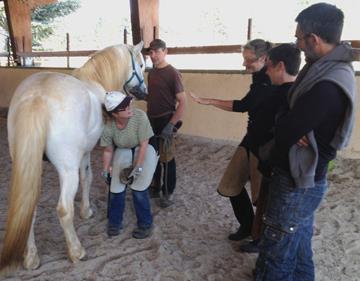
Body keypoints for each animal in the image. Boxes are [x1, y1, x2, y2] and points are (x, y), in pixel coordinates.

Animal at [0, 40, 146, 272]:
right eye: (140, 64)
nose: (144, 92)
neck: (94, 79)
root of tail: (37, 96)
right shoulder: (86, 153)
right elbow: (88, 177)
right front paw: (86, 211)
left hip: (28, 167)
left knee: (28, 207)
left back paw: (31, 258)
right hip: (67, 170)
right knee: (63, 209)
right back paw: (76, 251)